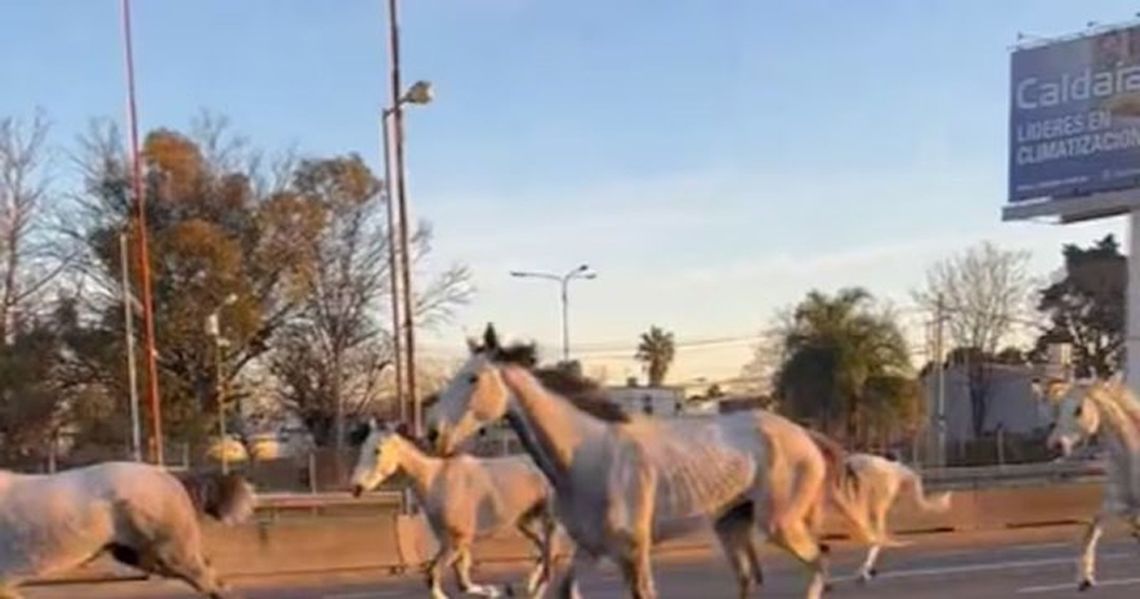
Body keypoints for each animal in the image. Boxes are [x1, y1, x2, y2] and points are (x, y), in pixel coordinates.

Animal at [348, 419, 558, 597]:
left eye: (377, 450)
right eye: (363, 448)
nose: (356, 487)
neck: (437, 481)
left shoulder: (457, 542)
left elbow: (433, 577)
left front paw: (496, 590)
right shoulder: (451, 544)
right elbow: (461, 583)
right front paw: (496, 590)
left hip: (548, 520)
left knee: (550, 556)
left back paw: (535, 589)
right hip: (525, 522)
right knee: (542, 550)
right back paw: (527, 586)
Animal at [1039, 376, 1140, 588]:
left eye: (1079, 409)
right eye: (1058, 408)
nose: (1056, 445)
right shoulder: (1115, 506)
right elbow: (1091, 530)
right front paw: (1085, 578)